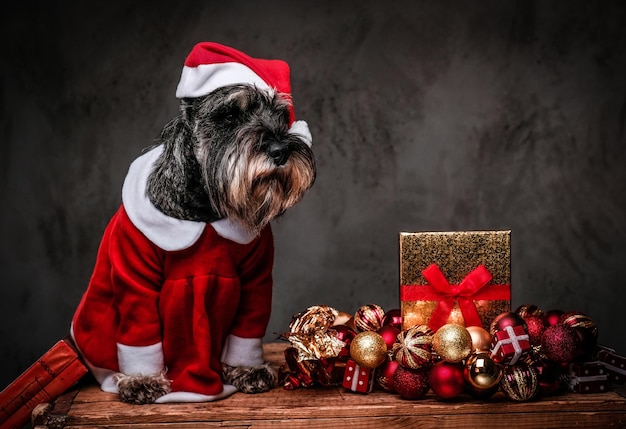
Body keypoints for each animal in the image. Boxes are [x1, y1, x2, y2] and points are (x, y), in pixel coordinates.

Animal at [70, 41, 314, 402]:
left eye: (282, 116)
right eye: (230, 114)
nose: (281, 151)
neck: (206, 212)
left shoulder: (255, 281)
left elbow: (248, 329)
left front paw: (248, 369)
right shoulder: (135, 284)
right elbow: (139, 333)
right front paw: (142, 380)